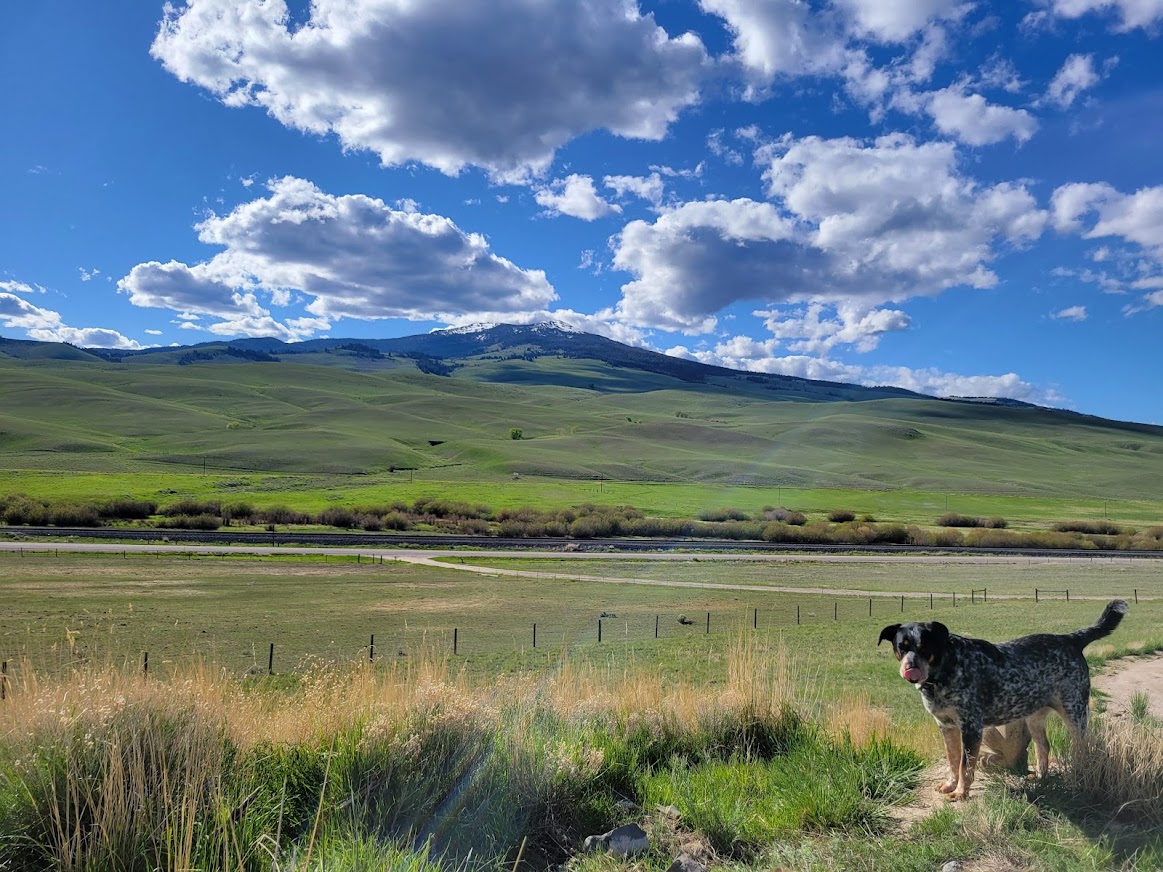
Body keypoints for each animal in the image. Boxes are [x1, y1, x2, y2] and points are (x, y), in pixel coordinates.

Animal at [879, 604, 1125, 804]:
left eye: (924, 647)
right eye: (902, 646)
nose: (910, 667)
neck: (945, 669)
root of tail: (1071, 638)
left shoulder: (971, 728)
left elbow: (965, 766)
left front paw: (960, 792)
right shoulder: (946, 726)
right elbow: (953, 760)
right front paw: (950, 785)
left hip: (1074, 713)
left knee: (1082, 749)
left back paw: (1079, 776)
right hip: (1034, 717)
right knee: (1043, 746)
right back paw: (1040, 777)